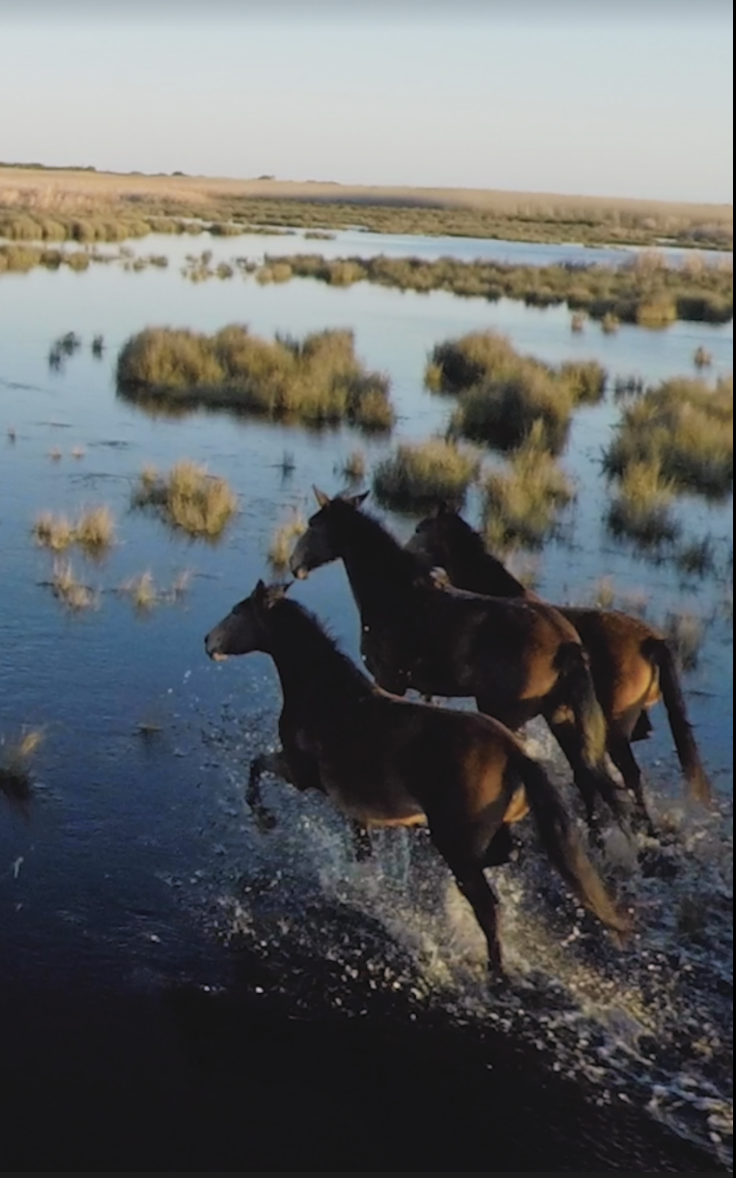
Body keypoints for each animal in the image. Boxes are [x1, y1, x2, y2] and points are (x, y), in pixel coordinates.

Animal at [203, 579, 626, 975]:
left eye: (237, 611)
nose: (208, 641)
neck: (324, 692)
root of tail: (515, 753)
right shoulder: (351, 801)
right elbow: (361, 843)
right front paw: (364, 879)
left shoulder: (300, 771)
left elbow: (257, 767)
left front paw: (265, 820)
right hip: (485, 830)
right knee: (508, 853)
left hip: (455, 839)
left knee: (488, 907)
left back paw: (494, 971)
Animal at [288, 485, 631, 829]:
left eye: (313, 524)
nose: (293, 563)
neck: (398, 596)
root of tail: (566, 644)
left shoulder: (388, 681)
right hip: (558, 714)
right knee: (587, 778)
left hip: (507, 714)